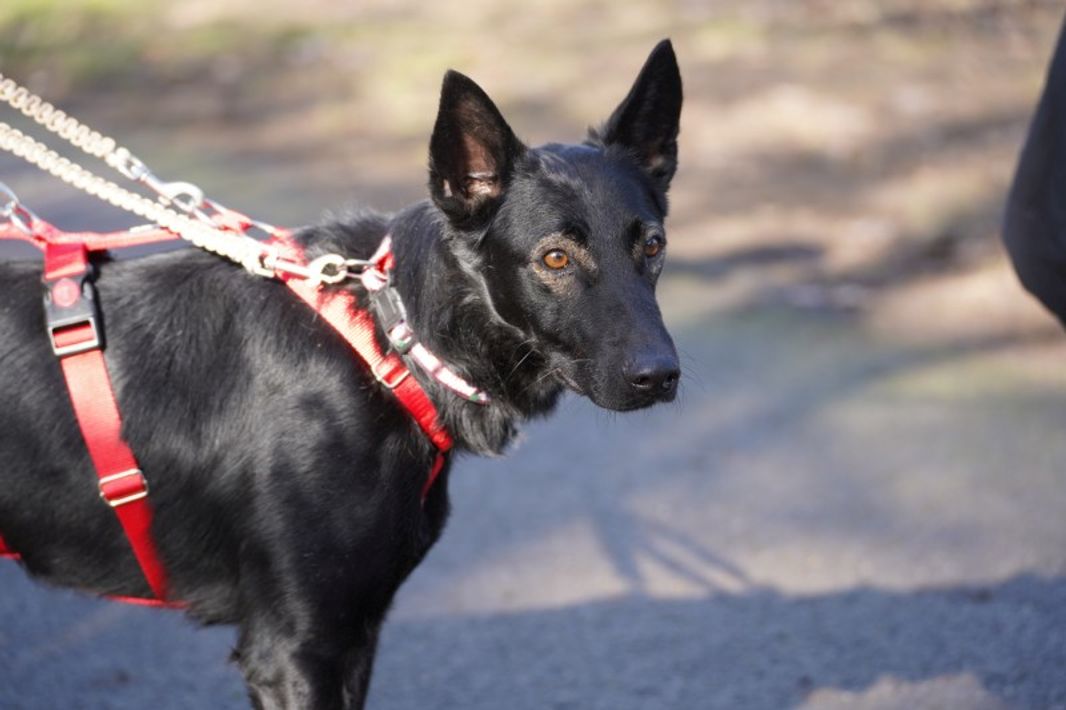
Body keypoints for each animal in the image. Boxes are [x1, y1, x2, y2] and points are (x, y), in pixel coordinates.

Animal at [0, 39, 683, 709]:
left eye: (652, 246)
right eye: (556, 258)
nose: (660, 377)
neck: (388, 347)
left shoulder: (354, 635)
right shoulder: (295, 650)